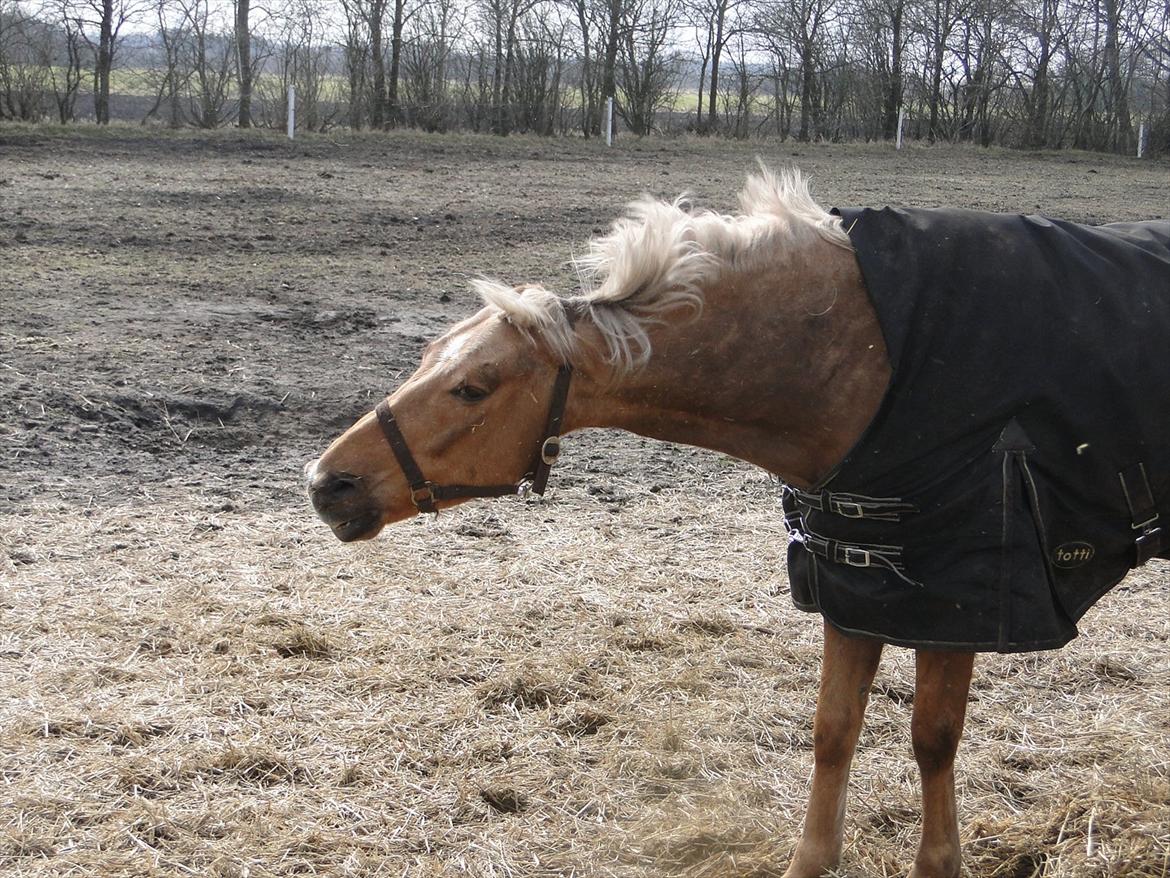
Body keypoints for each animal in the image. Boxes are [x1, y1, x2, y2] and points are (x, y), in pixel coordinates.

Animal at [306, 168, 1170, 878]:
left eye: (474, 387)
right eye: (429, 356)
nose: (326, 483)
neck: (852, 356)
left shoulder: (955, 599)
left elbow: (932, 738)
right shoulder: (857, 584)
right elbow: (833, 730)